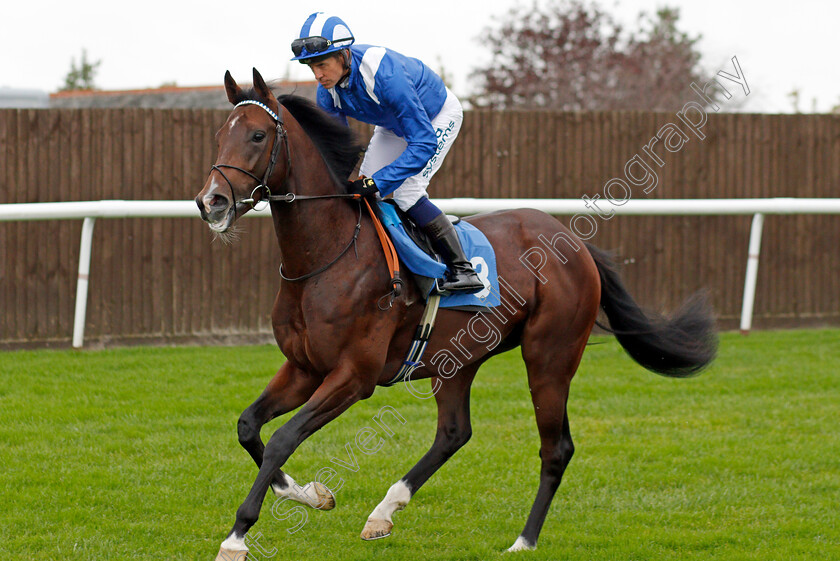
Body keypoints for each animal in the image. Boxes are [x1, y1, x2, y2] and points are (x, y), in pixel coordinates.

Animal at [197, 68, 716, 556]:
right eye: (220, 134)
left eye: (257, 136)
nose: (211, 202)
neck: (326, 256)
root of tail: (576, 242)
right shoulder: (304, 367)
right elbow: (249, 426)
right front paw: (306, 493)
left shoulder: (353, 376)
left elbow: (283, 439)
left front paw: (238, 536)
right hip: (458, 358)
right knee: (453, 433)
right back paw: (384, 512)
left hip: (550, 356)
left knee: (556, 448)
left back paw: (523, 540)